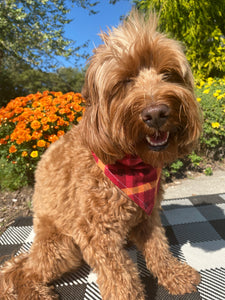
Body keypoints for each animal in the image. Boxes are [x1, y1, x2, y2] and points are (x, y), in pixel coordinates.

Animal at [0, 9, 201, 300]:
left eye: (168, 74)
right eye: (126, 81)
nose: (156, 113)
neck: (130, 162)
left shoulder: (148, 215)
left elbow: (159, 249)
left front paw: (174, 275)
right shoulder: (97, 232)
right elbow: (120, 279)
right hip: (63, 246)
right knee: (24, 270)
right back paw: (36, 292)